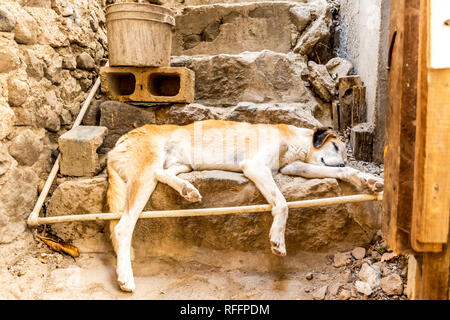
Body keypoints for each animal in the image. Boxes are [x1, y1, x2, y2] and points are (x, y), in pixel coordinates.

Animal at [106, 119, 384, 292]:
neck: (291, 140)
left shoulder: (294, 167)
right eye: (335, 145)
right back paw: (125, 277)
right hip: (145, 173)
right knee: (123, 227)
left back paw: (188, 190)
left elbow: (343, 172)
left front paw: (368, 179)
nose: (341, 163)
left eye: (344, 154)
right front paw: (277, 240)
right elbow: (282, 203)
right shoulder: (256, 166)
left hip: (176, 165)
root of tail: (116, 145)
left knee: (163, 174)